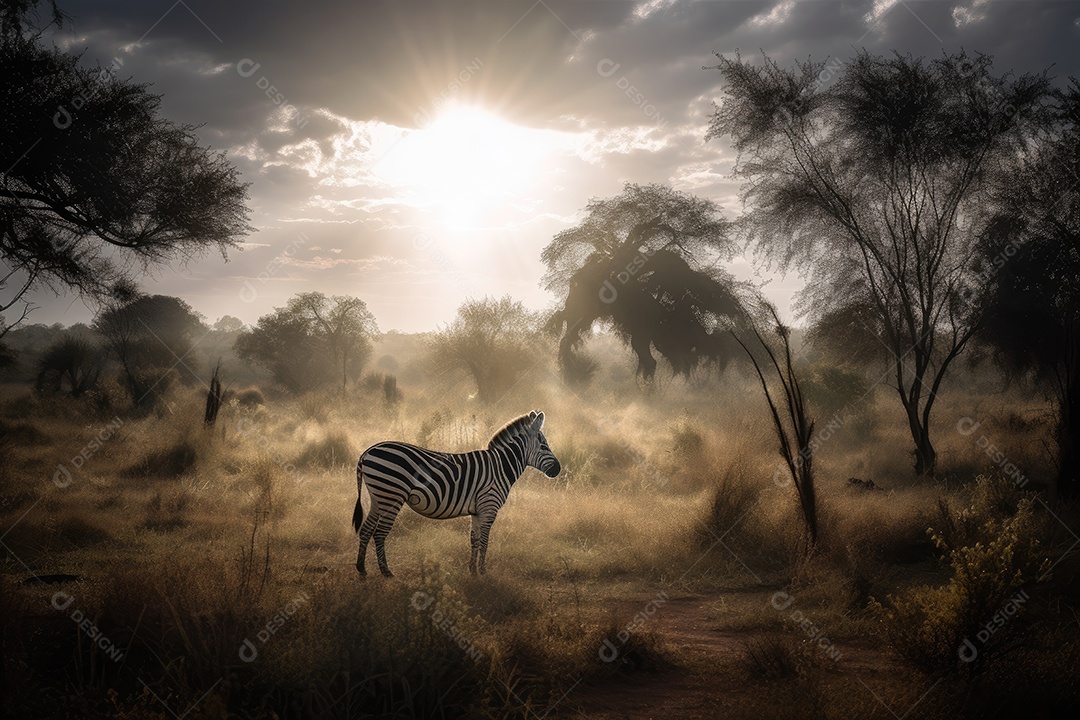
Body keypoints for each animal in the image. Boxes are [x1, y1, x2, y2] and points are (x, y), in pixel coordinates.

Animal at [352, 410, 561, 577]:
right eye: (543, 446)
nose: (558, 470)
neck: (500, 467)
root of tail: (367, 452)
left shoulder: (477, 510)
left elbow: (474, 540)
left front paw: (473, 571)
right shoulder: (489, 506)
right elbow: (485, 541)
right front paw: (483, 572)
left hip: (379, 496)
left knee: (366, 529)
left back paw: (362, 569)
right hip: (392, 495)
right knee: (380, 533)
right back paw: (386, 572)